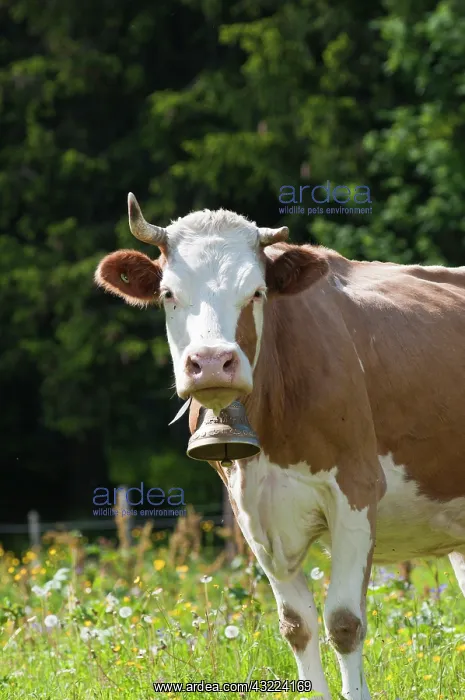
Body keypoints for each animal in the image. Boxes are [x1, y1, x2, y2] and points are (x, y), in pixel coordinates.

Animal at [95, 194, 465, 700]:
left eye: (256, 292)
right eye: (168, 293)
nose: (212, 362)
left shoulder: (356, 490)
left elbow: (344, 622)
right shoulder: (251, 511)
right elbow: (297, 625)